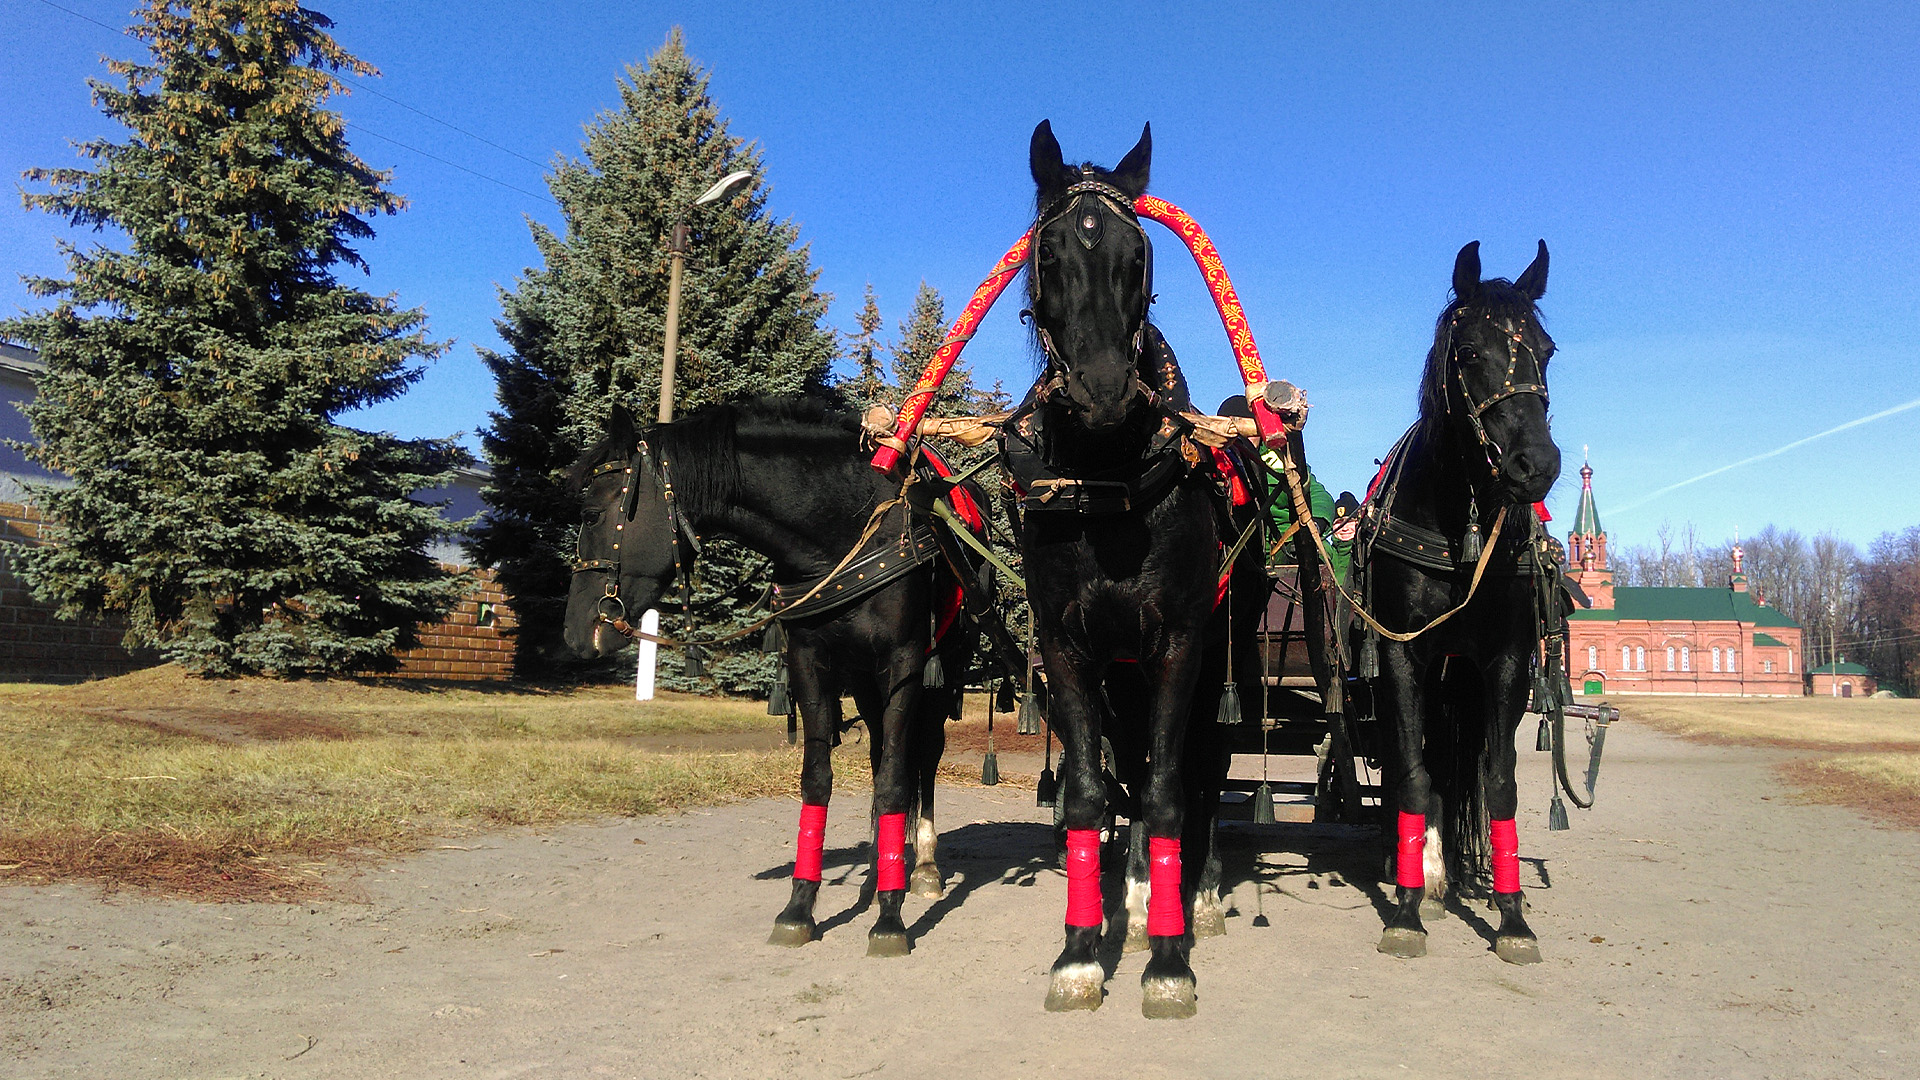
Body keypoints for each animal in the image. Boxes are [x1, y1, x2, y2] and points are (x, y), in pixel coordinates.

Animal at [561, 396, 999, 957]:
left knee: (922, 757)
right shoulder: (811, 664)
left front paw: (890, 917)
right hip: (866, 683)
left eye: (592, 514)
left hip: (941, 674)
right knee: (882, 751)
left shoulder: (903, 663)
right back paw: (880, 868)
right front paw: (801, 906)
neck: (845, 527)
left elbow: (896, 782)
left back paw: (919, 866)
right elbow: (819, 779)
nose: (575, 633)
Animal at [1002, 120, 1267, 1018]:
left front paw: (1168, 959)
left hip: (1225, 657)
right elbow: (1092, 790)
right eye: (1048, 253)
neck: (1110, 481)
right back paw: (1141, 890)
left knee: (1201, 770)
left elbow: (1166, 789)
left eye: (1138, 254)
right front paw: (1083, 949)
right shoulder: (1071, 648)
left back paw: (1196, 893)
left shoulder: (1180, 643)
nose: (1104, 389)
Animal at [1356, 240, 1562, 964]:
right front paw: (1406, 907)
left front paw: (1513, 917)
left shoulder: (1503, 663)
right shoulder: (1402, 656)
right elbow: (1415, 775)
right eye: (1469, 351)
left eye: (1547, 349)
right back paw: (1425, 872)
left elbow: (1498, 781)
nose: (1538, 464)